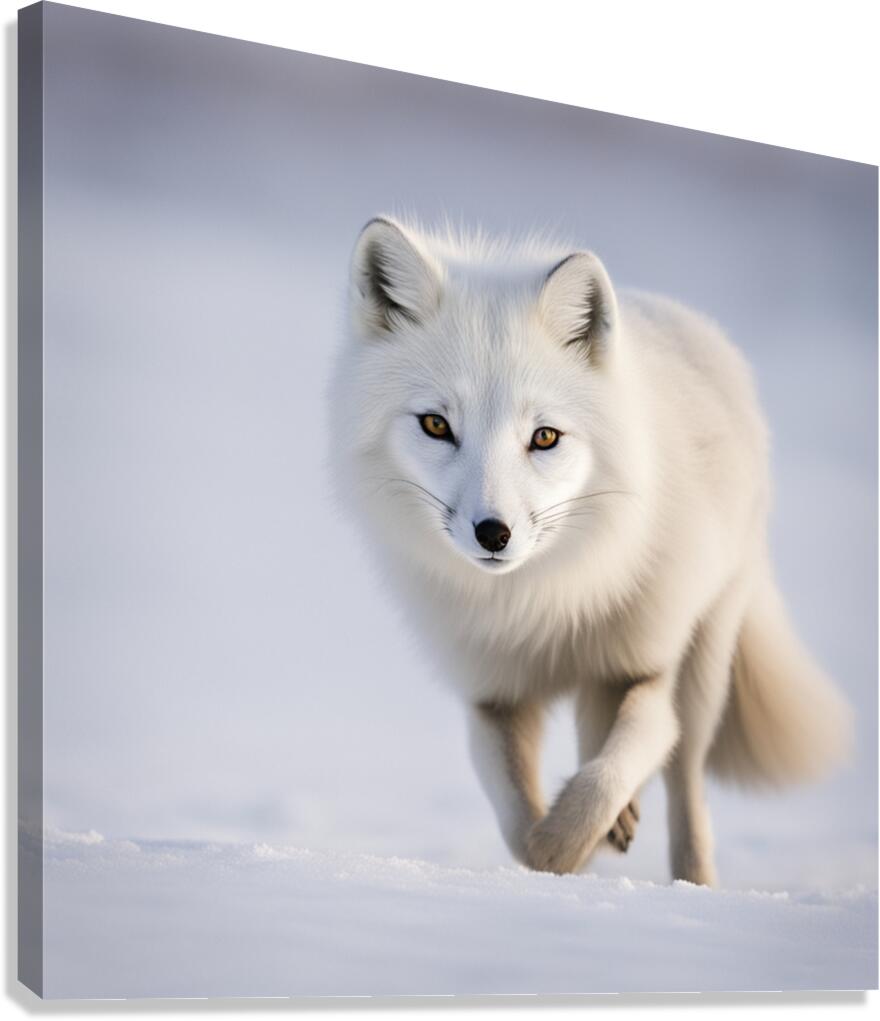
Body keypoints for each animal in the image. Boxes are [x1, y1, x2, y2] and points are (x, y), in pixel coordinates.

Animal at [330, 215, 853, 886]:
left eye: (545, 437)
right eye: (436, 426)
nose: (493, 533)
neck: (543, 604)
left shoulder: (645, 669)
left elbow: (610, 773)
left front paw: (579, 837)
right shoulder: (493, 695)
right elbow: (521, 827)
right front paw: (565, 845)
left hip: (705, 653)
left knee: (683, 774)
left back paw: (693, 879)